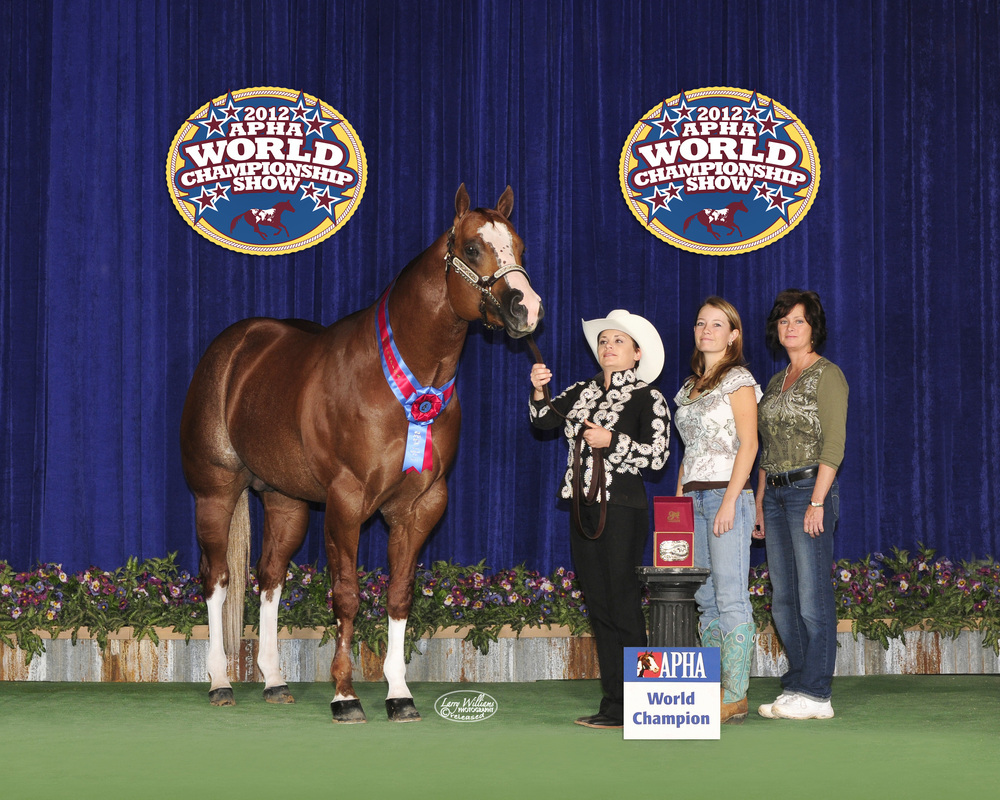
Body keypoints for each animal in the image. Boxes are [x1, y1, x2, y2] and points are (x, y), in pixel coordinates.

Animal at [180, 184, 543, 723]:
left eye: (519, 247)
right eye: (474, 247)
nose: (528, 309)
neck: (399, 384)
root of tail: (234, 347)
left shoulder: (419, 508)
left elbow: (399, 596)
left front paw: (399, 695)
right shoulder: (346, 503)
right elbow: (347, 597)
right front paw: (345, 696)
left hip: (286, 502)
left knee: (269, 578)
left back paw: (273, 681)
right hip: (215, 492)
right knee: (218, 578)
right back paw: (221, 682)